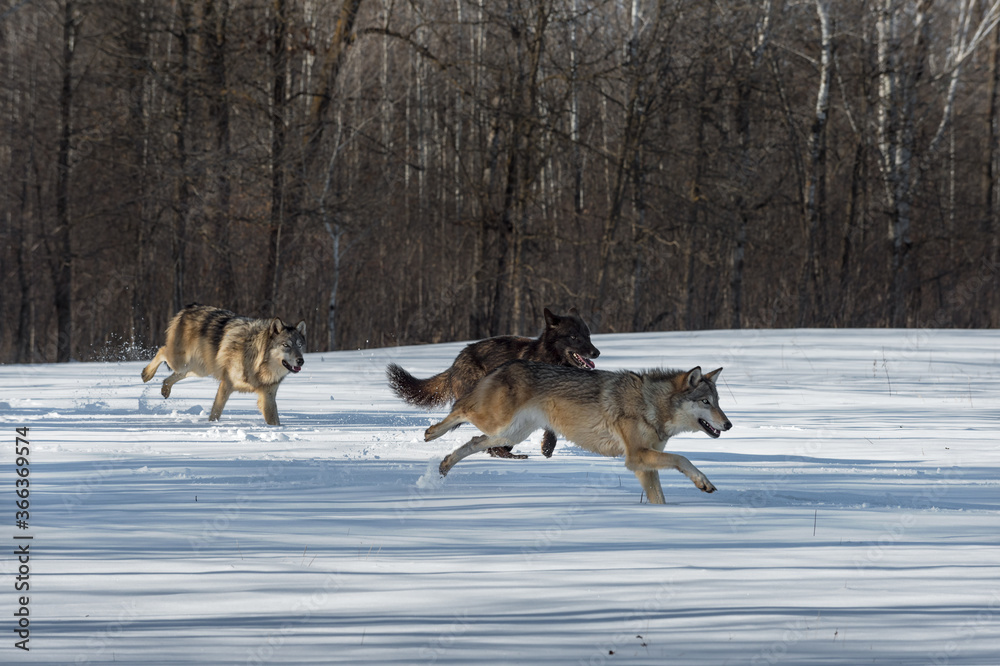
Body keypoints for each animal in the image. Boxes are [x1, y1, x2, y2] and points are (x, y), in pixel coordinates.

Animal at [141, 304, 306, 426]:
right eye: (286, 345)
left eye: (299, 345)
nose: (301, 360)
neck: (257, 363)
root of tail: (189, 307)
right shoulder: (226, 384)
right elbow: (216, 411)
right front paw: (211, 425)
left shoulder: (268, 396)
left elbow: (275, 421)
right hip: (183, 363)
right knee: (161, 350)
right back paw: (146, 374)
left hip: (197, 369)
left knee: (170, 377)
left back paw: (165, 390)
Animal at [386, 308, 600, 459]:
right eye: (573, 337)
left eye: (588, 336)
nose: (596, 352)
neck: (550, 358)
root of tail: (456, 362)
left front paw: (547, 447)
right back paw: (501, 452)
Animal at [425, 361, 732, 504]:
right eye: (706, 402)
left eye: (718, 402)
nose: (728, 425)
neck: (651, 404)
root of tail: (506, 365)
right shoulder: (636, 457)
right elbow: (683, 459)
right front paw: (703, 482)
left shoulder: (642, 465)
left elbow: (661, 497)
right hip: (497, 424)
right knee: (459, 410)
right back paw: (430, 434)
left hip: (509, 435)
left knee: (472, 441)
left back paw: (443, 467)